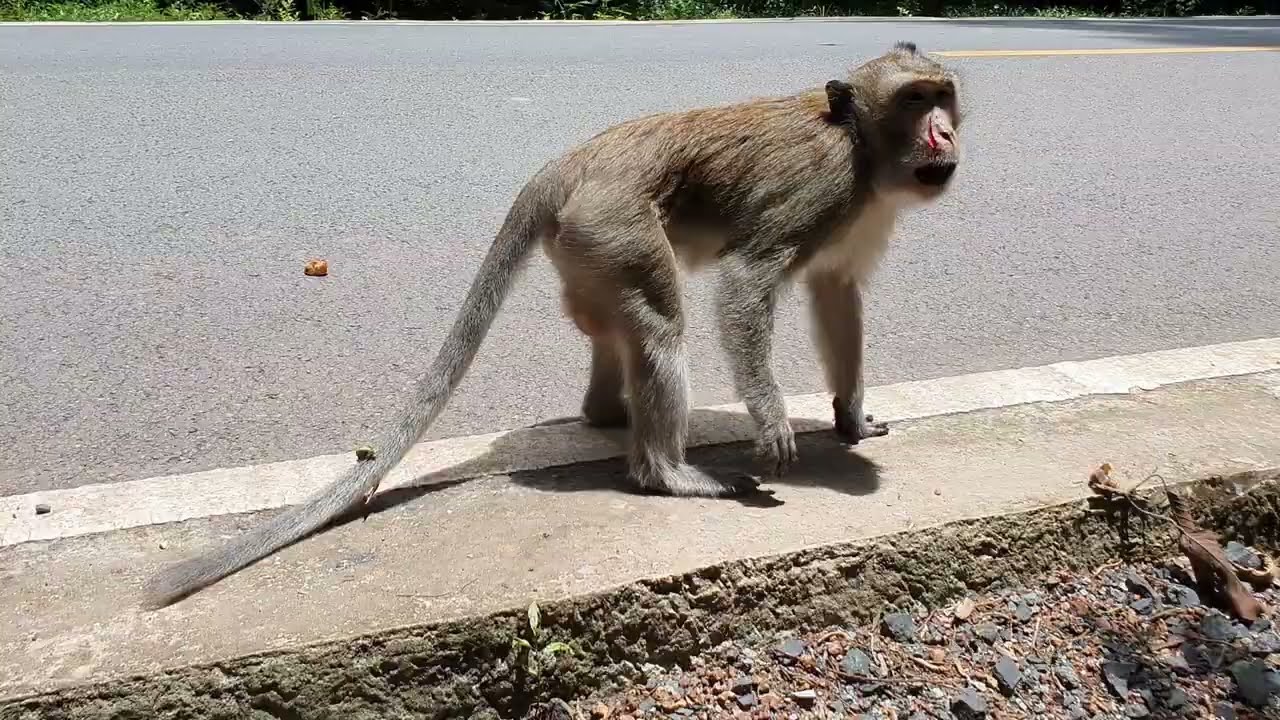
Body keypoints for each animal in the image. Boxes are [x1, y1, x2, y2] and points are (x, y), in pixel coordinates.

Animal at [141, 41, 962, 610]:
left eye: (943, 96)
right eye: (914, 100)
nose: (945, 137)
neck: (860, 151)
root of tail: (566, 164)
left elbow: (836, 292)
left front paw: (851, 418)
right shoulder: (821, 188)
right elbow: (746, 285)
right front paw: (773, 419)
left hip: (588, 247)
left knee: (618, 326)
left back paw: (605, 411)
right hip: (614, 223)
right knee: (661, 322)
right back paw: (666, 472)